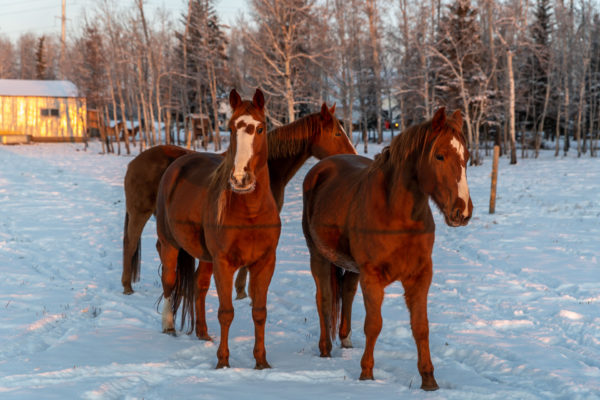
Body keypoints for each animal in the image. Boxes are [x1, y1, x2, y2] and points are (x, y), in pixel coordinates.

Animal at [122, 102, 356, 294]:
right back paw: (127, 287)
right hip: (139, 213)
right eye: (337, 133)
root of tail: (135, 161)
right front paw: (242, 291)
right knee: (130, 243)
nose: (353, 155)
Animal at [154, 88, 278, 368]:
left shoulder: (264, 263)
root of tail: (176, 165)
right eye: (230, 128)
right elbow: (226, 312)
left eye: (260, 128)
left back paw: (202, 332)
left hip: (205, 257)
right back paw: (168, 326)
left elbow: (259, 312)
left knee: (198, 286)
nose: (240, 179)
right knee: (169, 281)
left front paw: (261, 361)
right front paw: (223, 361)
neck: (251, 213)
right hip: (170, 245)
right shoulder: (224, 263)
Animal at [302, 108, 472, 392]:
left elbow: (421, 327)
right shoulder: (372, 277)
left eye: (466, 157)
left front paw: (429, 379)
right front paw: (366, 373)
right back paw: (325, 348)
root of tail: (322, 166)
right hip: (319, 257)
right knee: (323, 299)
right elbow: (374, 324)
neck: (397, 215)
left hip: (351, 268)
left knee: (346, 293)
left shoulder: (420, 276)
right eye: (439, 155)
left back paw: (345, 339)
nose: (463, 211)